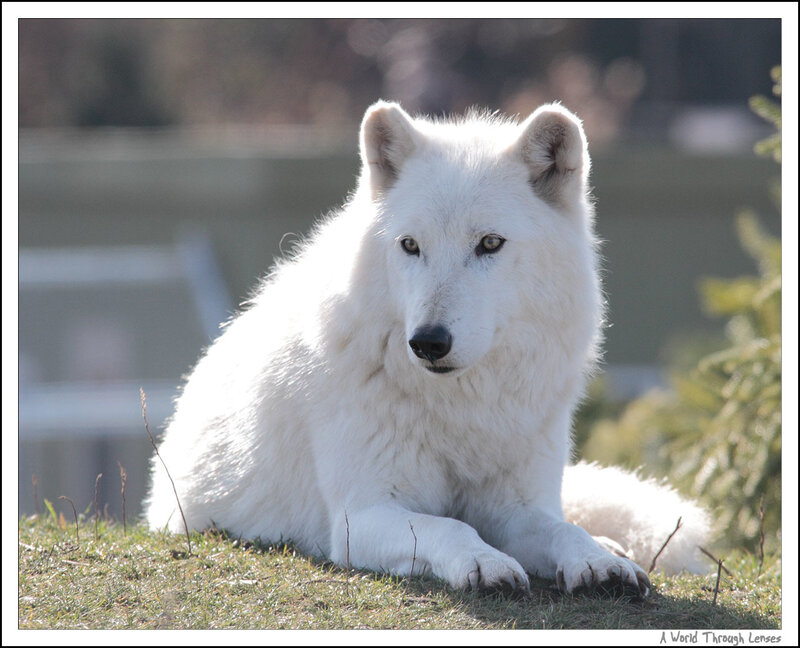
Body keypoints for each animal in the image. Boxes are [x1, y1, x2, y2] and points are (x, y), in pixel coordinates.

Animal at [145, 100, 710, 596]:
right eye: (410, 246)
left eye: (489, 244)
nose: (427, 342)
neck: (459, 406)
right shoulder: (361, 516)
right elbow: (450, 527)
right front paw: (486, 563)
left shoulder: (519, 508)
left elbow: (562, 528)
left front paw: (598, 562)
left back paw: (613, 546)